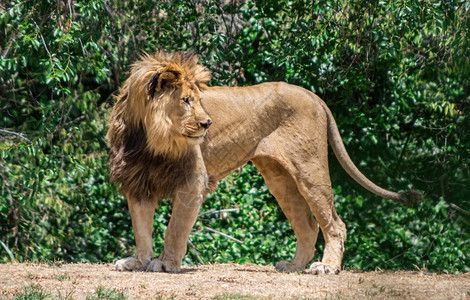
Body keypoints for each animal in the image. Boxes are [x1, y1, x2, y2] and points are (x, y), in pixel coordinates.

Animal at [107, 51, 422, 274]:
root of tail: (313, 95)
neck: (149, 139)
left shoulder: (192, 182)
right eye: (185, 100)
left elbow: (175, 228)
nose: (208, 123)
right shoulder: (137, 181)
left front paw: (164, 263)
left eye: (197, 100)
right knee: (308, 225)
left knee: (335, 223)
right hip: (279, 179)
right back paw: (293, 266)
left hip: (310, 170)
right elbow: (141, 228)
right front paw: (137, 261)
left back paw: (327, 267)